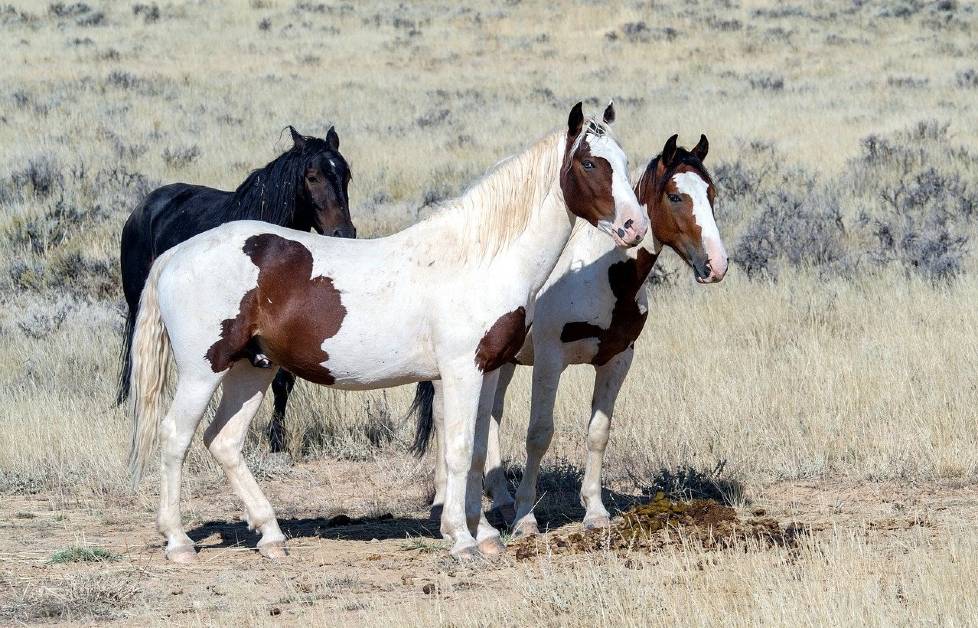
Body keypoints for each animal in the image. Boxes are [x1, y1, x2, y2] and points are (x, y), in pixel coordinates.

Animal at [117, 126, 354, 452]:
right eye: (312, 176)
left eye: (346, 175)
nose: (344, 233)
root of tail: (143, 207)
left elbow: (284, 382)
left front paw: (277, 439)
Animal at [412, 132, 724, 536]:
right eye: (675, 196)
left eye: (711, 192)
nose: (716, 264)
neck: (601, 274)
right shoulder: (550, 360)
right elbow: (539, 434)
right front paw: (526, 517)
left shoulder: (617, 359)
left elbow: (598, 432)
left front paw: (594, 510)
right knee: (442, 416)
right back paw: (444, 505)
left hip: (503, 361)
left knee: (491, 415)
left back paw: (500, 499)